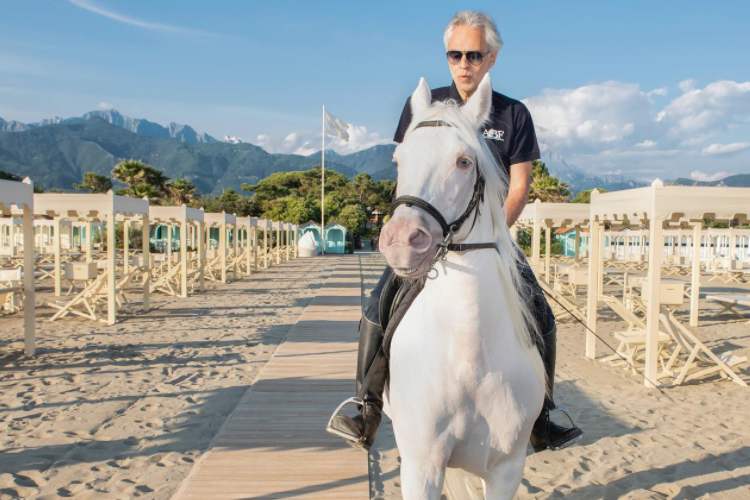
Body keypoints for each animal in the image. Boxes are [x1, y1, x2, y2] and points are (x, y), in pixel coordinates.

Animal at [382, 75, 548, 500]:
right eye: (399, 160)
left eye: (463, 161)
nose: (402, 241)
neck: (469, 353)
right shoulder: (421, 466)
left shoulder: (506, 468)